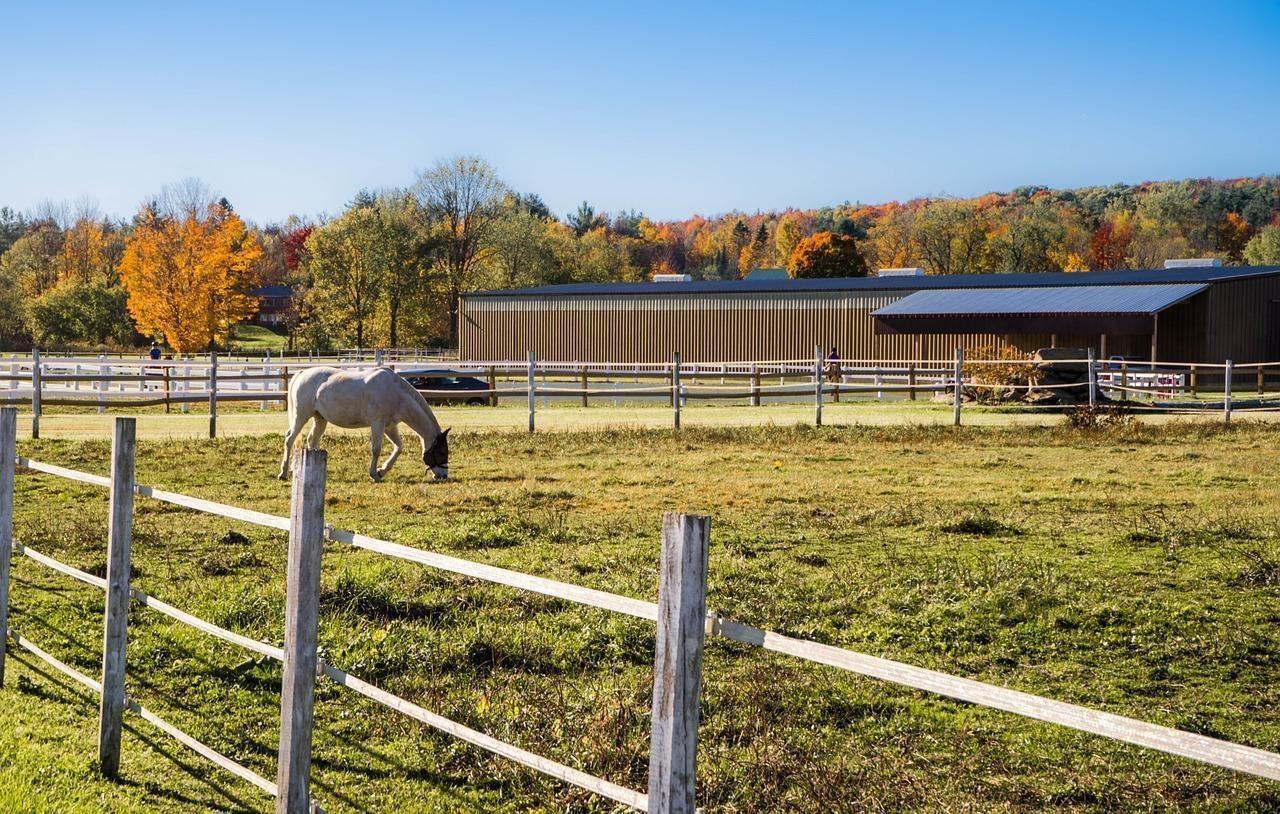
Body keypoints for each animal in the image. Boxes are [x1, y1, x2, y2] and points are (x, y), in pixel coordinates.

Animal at [278, 366, 450, 482]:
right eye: (442, 452)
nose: (443, 476)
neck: (395, 393)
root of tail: (302, 373)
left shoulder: (389, 427)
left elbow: (399, 447)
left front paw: (382, 471)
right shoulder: (377, 424)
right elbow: (376, 449)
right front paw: (374, 474)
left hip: (320, 418)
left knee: (312, 439)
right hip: (301, 416)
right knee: (289, 439)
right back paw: (283, 473)